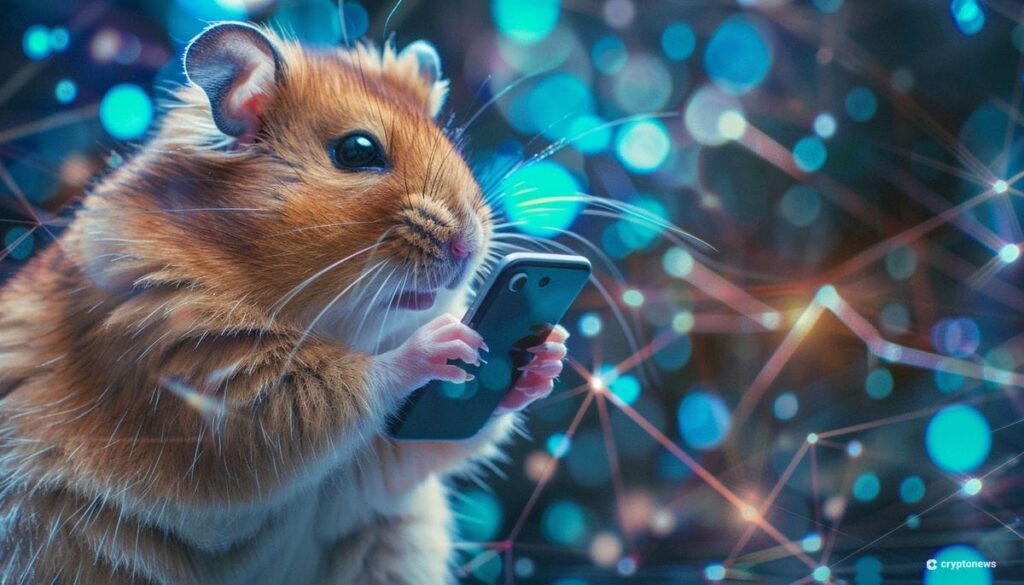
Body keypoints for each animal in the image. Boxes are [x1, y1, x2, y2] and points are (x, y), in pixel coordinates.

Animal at [0, 22, 568, 584]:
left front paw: (547, 356)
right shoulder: (193, 371)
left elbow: (420, 446)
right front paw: (441, 342)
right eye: (357, 151)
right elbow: (333, 394)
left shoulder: (367, 470)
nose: (468, 246)